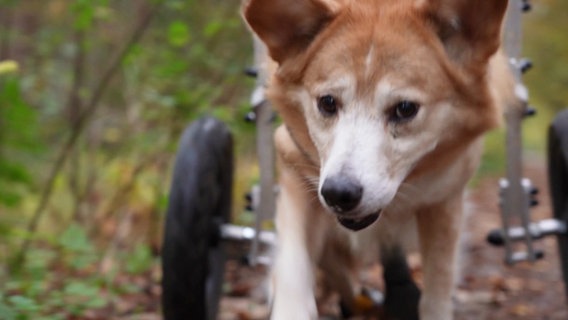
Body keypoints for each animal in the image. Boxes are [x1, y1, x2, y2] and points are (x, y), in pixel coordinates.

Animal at [242, 1, 516, 318]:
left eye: (405, 108)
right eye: (327, 102)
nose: (338, 193)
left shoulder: (444, 201)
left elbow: (439, 284)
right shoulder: (296, 171)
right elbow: (292, 264)